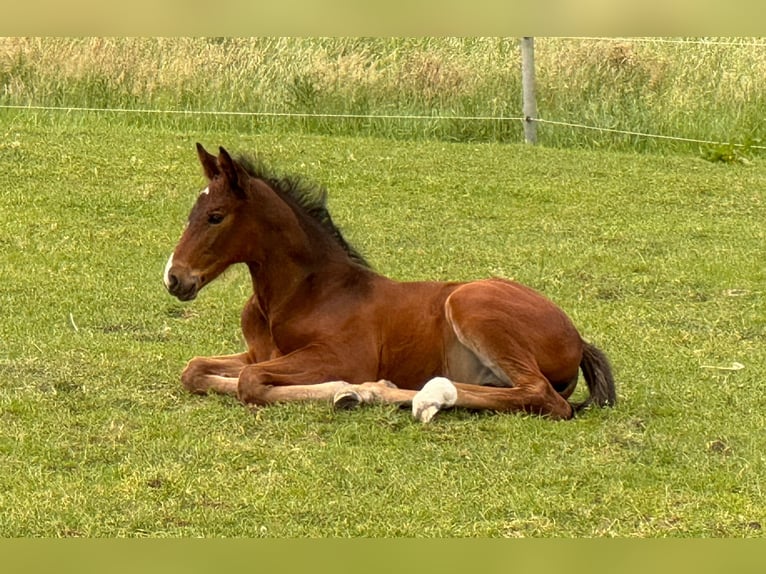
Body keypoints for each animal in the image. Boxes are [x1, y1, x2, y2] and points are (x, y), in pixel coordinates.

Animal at [164, 144, 616, 424]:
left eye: (216, 216)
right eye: (191, 212)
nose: (174, 277)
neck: (303, 293)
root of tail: (578, 339)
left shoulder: (341, 357)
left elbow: (251, 382)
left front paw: (347, 389)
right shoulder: (259, 352)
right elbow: (196, 370)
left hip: (471, 303)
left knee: (543, 396)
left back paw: (410, 395)